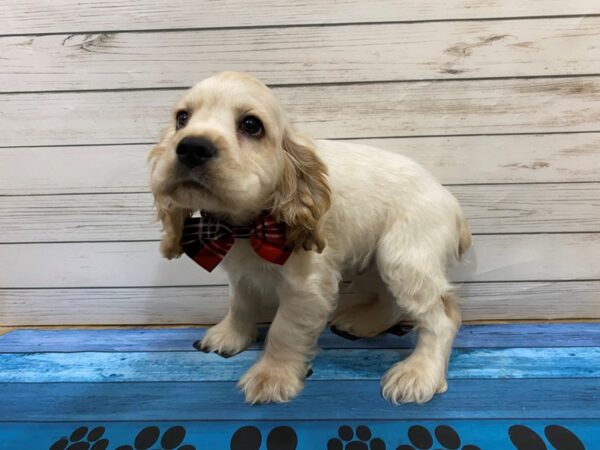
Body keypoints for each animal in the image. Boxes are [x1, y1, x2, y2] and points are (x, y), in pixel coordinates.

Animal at [148, 71, 472, 404]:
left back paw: (419, 374)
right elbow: (239, 302)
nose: (191, 147)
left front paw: (272, 376)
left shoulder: (307, 287)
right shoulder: (240, 269)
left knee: (443, 318)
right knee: (391, 301)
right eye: (182, 118)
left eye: (251, 125)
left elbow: (284, 330)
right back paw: (363, 324)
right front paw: (230, 335)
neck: (247, 226)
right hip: (378, 259)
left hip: (405, 258)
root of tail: (452, 204)